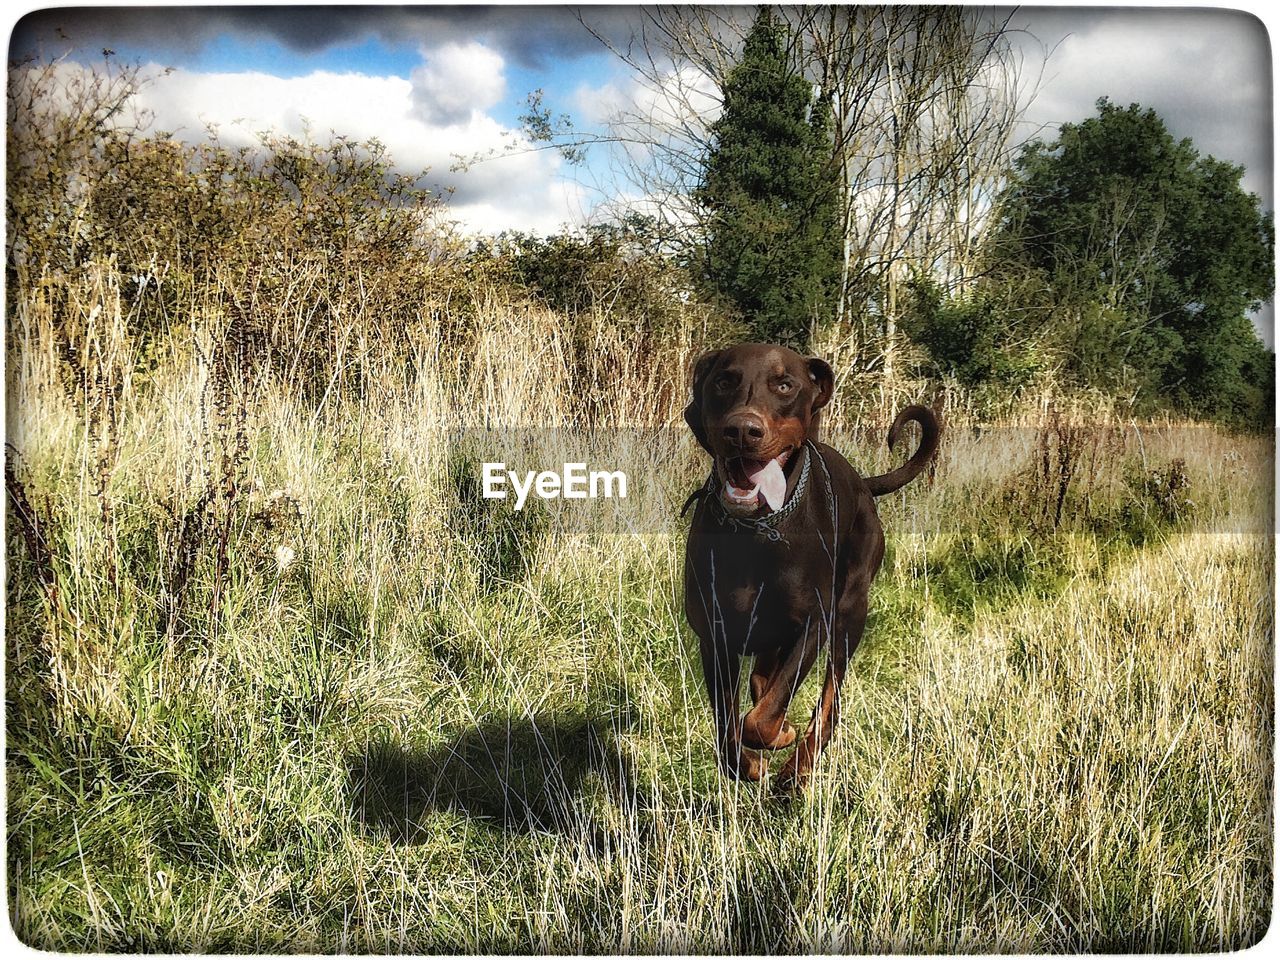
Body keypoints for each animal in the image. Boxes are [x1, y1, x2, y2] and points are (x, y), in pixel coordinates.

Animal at [680, 343, 942, 793]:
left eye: (785, 385)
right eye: (724, 380)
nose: (743, 431)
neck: (757, 531)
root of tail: (862, 482)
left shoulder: (815, 621)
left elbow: (762, 719)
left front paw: (776, 738)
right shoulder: (715, 635)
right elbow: (727, 730)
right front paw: (751, 763)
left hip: (850, 613)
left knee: (828, 706)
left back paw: (797, 769)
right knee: (763, 679)